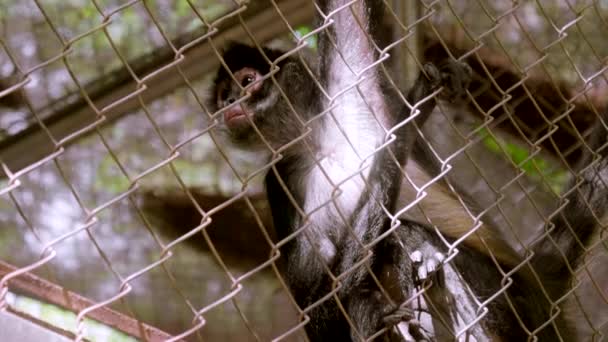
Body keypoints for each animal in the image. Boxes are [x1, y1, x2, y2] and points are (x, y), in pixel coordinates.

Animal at [207, 1, 604, 340]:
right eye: (224, 96)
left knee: (406, 235)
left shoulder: (351, 85)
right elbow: (318, 309)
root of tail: (538, 284)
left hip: (512, 295)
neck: (319, 141)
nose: (229, 103)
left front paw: (418, 101)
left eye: (246, 82)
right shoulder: (282, 177)